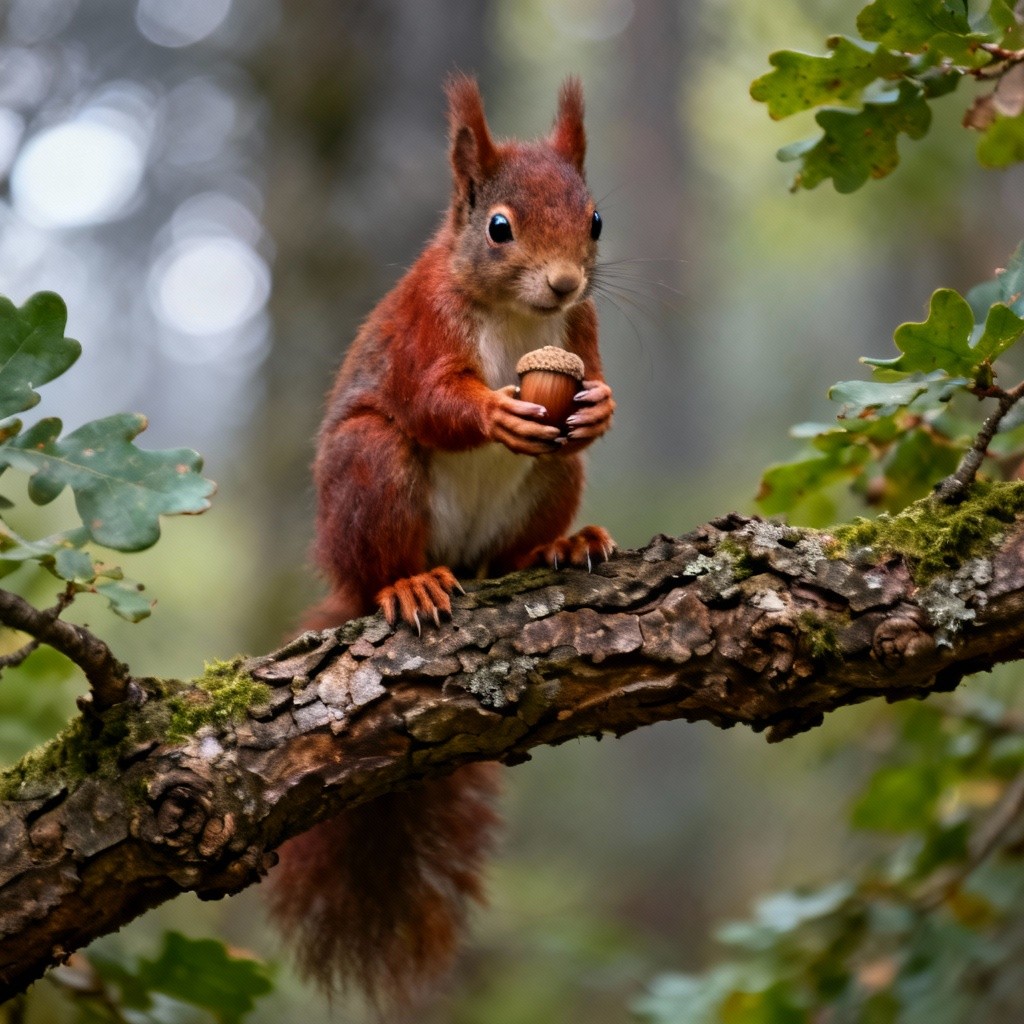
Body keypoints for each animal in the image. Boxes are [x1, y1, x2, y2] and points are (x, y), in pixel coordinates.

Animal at [268, 73, 616, 1009]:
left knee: (523, 533)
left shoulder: (583, 334)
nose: (565, 284)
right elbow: (431, 398)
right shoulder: (425, 327)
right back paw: (409, 587)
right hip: (371, 473)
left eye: (596, 218)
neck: (513, 314)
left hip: (552, 485)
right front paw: (493, 412)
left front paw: (599, 407)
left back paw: (554, 551)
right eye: (498, 227)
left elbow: (597, 387)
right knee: (389, 546)